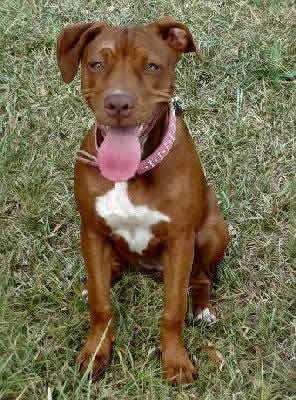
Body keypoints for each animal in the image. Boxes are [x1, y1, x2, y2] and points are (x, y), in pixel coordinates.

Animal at [56, 16, 230, 384]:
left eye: (152, 66)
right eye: (97, 64)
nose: (119, 103)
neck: (133, 174)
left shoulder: (180, 241)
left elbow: (173, 311)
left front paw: (176, 362)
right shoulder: (92, 231)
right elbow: (100, 305)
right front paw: (96, 353)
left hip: (213, 232)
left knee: (202, 277)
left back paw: (203, 308)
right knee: (109, 273)